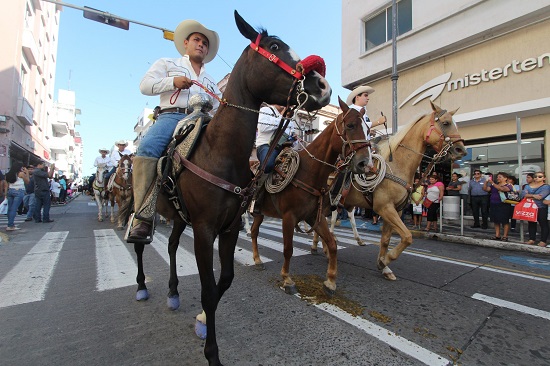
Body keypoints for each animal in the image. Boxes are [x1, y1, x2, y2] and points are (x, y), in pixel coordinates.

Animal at [125, 10, 332, 364]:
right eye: (275, 46)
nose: (323, 86)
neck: (219, 153)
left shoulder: (230, 227)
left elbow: (224, 281)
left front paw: (202, 320)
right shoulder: (204, 229)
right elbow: (209, 289)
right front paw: (212, 352)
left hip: (178, 217)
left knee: (171, 246)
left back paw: (173, 292)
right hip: (143, 206)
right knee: (140, 243)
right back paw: (141, 286)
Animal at [249, 97, 370, 294]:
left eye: (367, 130)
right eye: (350, 125)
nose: (365, 163)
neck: (308, 172)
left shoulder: (315, 217)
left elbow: (332, 244)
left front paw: (330, 281)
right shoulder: (289, 217)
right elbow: (288, 249)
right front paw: (287, 279)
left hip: (259, 212)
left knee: (253, 232)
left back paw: (258, 260)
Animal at [314, 102, 466, 280]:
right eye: (446, 123)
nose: (460, 149)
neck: (397, 165)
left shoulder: (396, 210)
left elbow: (386, 239)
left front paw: (384, 265)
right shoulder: (384, 208)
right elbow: (407, 237)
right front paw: (385, 261)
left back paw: (318, 245)